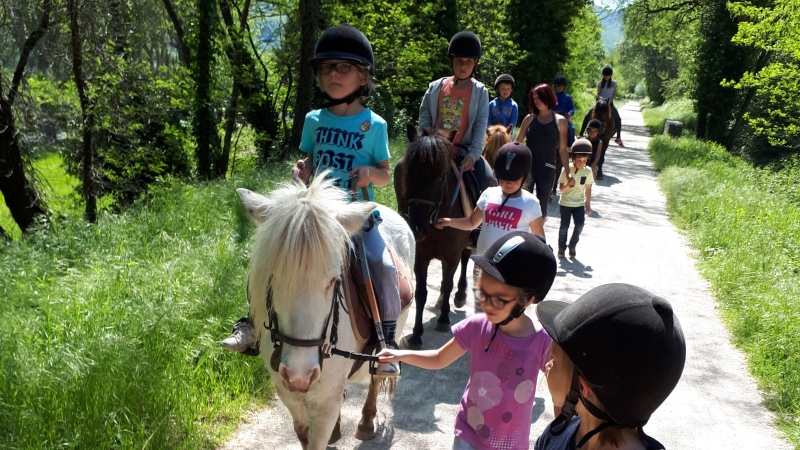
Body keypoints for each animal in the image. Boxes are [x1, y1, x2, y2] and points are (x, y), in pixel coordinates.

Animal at [236, 173, 412, 450]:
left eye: (333, 280)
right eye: (273, 278)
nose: (299, 374)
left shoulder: (327, 400)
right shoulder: (288, 394)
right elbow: (303, 434)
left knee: (376, 375)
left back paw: (366, 422)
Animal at [396, 125, 472, 348]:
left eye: (439, 178)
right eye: (408, 175)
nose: (416, 228)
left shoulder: (451, 256)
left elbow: (447, 284)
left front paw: (444, 320)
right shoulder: (420, 257)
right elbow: (421, 293)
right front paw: (416, 334)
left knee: (466, 260)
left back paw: (460, 296)